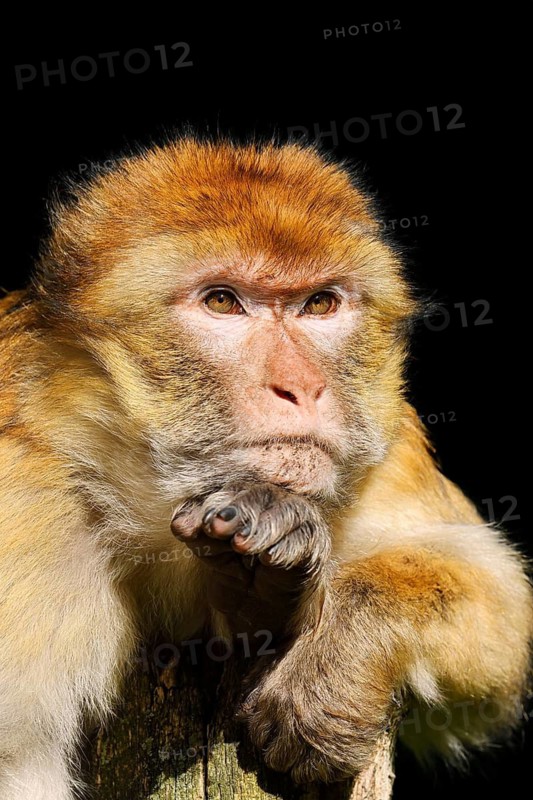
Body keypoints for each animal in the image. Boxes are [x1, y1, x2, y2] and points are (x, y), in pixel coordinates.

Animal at [0, 136, 531, 799]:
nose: (302, 385)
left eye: (319, 304)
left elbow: (498, 591)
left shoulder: (389, 446)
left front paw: (331, 664)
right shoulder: (25, 509)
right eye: (223, 302)